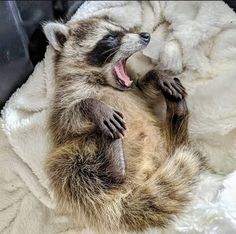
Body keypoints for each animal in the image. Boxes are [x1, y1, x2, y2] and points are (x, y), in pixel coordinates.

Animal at [43, 16, 205, 232]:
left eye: (124, 30)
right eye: (110, 37)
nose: (145, 35)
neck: (103, 80)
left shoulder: (135, 90)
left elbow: (145, 88)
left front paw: (156, 74)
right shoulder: (64, 101)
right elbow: (69, 119)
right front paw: (92, 106)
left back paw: (177, 114)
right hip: (73, 158)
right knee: (74, 172)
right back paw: (114, 164)